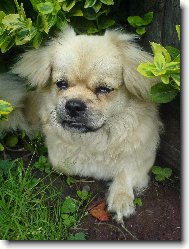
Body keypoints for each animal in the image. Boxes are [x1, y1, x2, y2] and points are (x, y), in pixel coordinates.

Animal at [0, 26, 162, 222]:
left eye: (104, 89)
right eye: (61, 84)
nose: (74, 105)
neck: (95, 138)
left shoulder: (142, 158)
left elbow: (126, 173)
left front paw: (121, 199)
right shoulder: (59, 160)